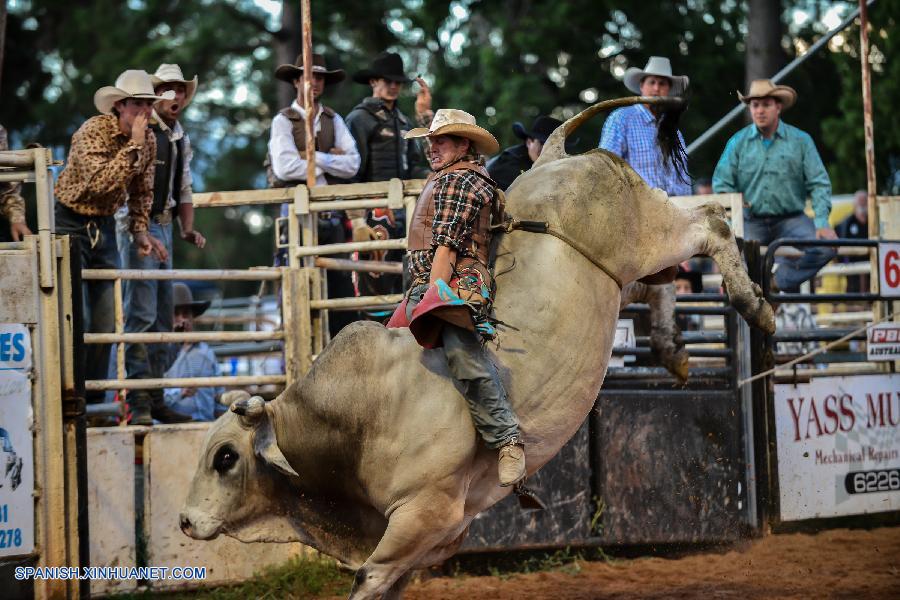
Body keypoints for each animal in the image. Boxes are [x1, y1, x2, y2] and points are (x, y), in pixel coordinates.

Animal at [181, 98, 772, 600]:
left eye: (225, 457)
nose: (185, 521)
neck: (360, 418)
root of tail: (555, 157)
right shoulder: (436, 534)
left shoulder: (426, 513)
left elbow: (370, 578)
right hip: (625, 279)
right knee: (664, 285)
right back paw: (674, 351)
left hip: (652, 233)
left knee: (712, 224)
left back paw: (755, 306)